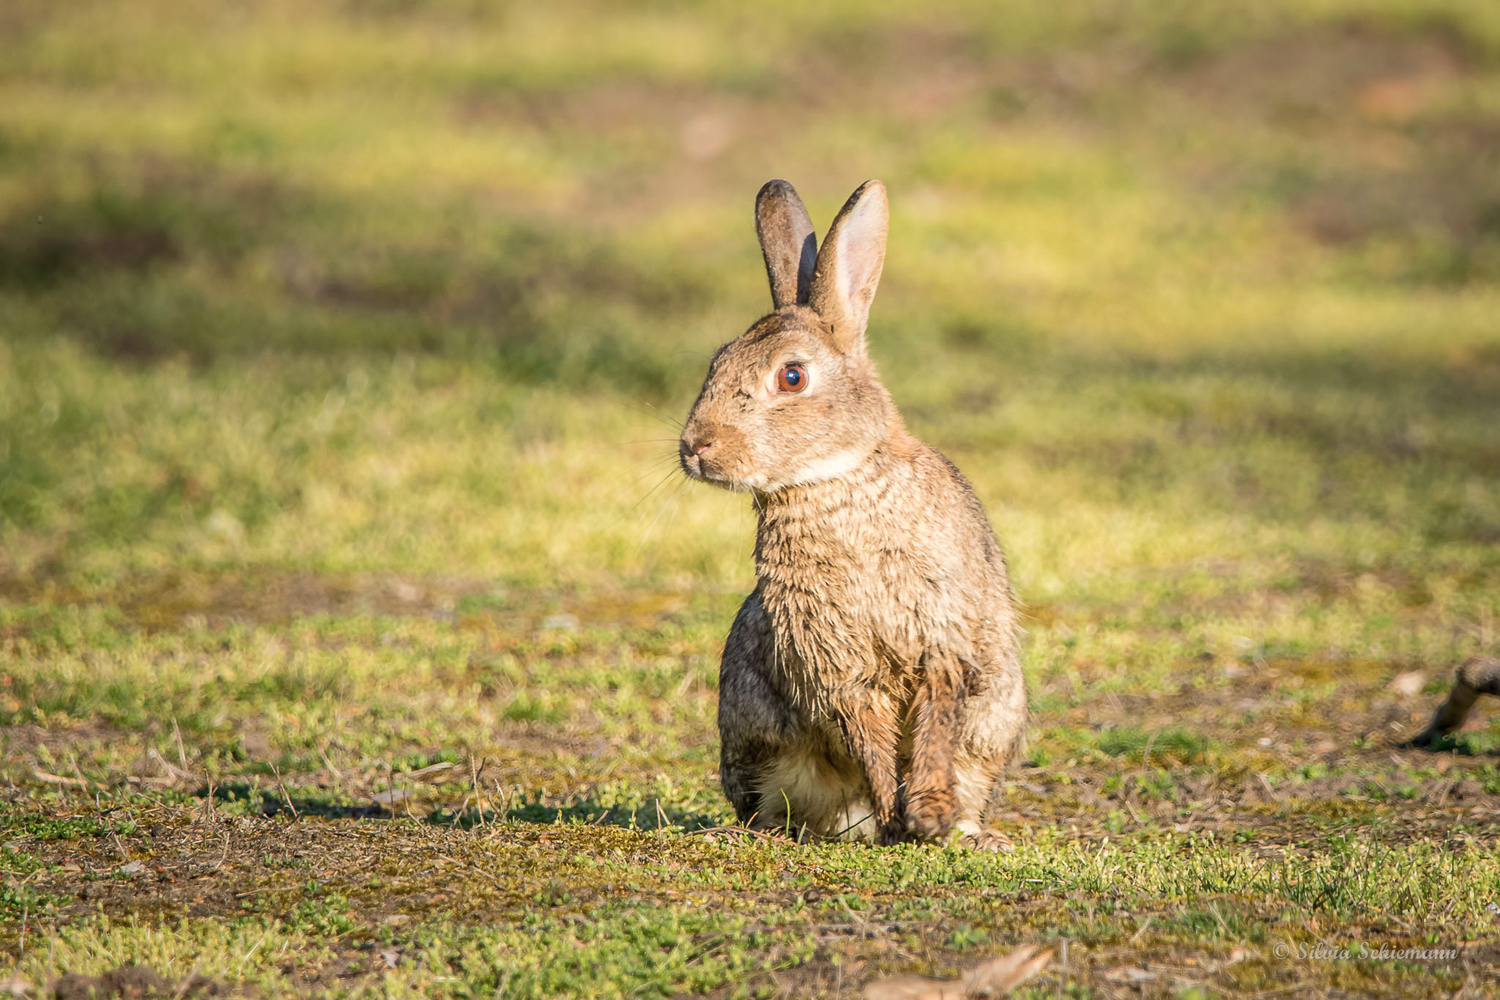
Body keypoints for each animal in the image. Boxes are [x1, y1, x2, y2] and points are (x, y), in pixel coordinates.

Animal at [684, 176, 1026, 851]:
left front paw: (927, 816)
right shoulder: (834, 663)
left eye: (792, 376)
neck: (835, 480)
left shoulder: (941, 634)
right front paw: (898, 821)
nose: (695, 447)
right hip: (757, 736)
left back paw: (969, 834)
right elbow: (870, 739)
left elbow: (934, 726)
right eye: (716, 361)